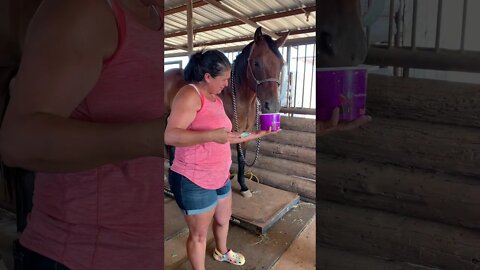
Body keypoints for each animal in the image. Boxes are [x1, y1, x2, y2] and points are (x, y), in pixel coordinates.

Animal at [165, 26, 286, 196]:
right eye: (256, 63)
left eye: (281, 64)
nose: (272, 105)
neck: (238, 97)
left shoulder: (244, 132)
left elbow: (241, 158)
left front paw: (243, 187)